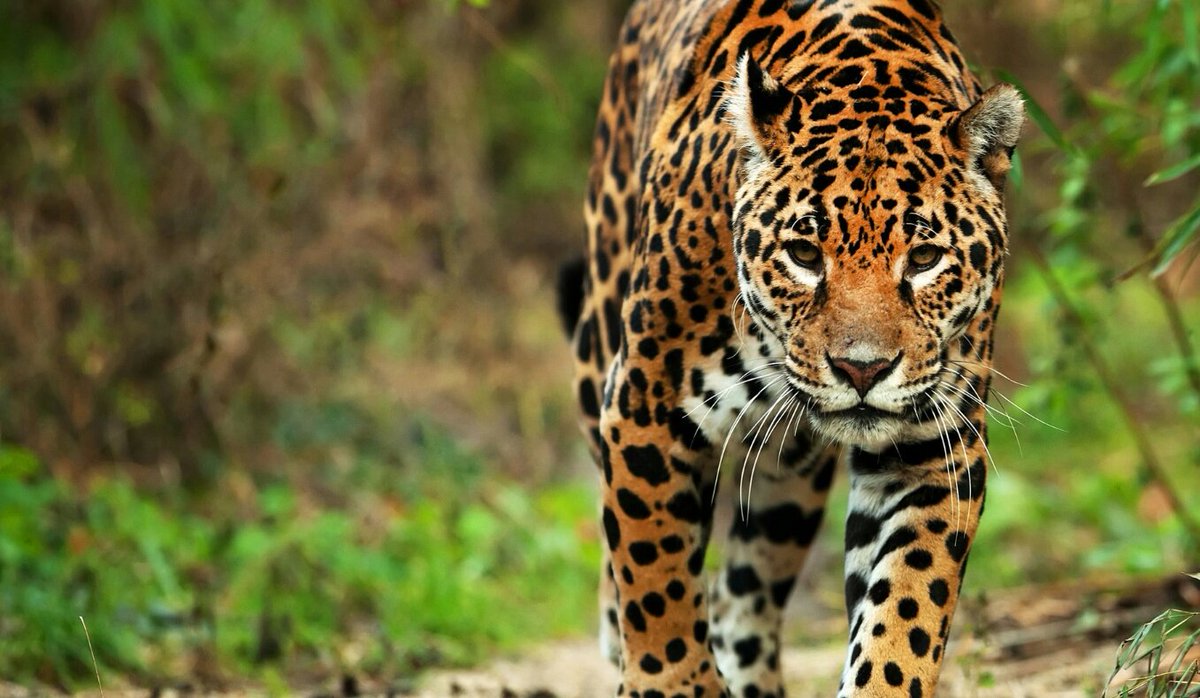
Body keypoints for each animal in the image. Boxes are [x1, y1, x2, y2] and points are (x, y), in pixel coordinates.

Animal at [558, 0, 1024, 695]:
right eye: (804, 254)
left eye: (924, 259)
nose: (863, 370)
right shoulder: (646, 405)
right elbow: (655, 575)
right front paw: (672, 681)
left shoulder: (932, 449)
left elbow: (906, 610)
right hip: (598, 358)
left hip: (789, 475)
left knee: (742, 599)